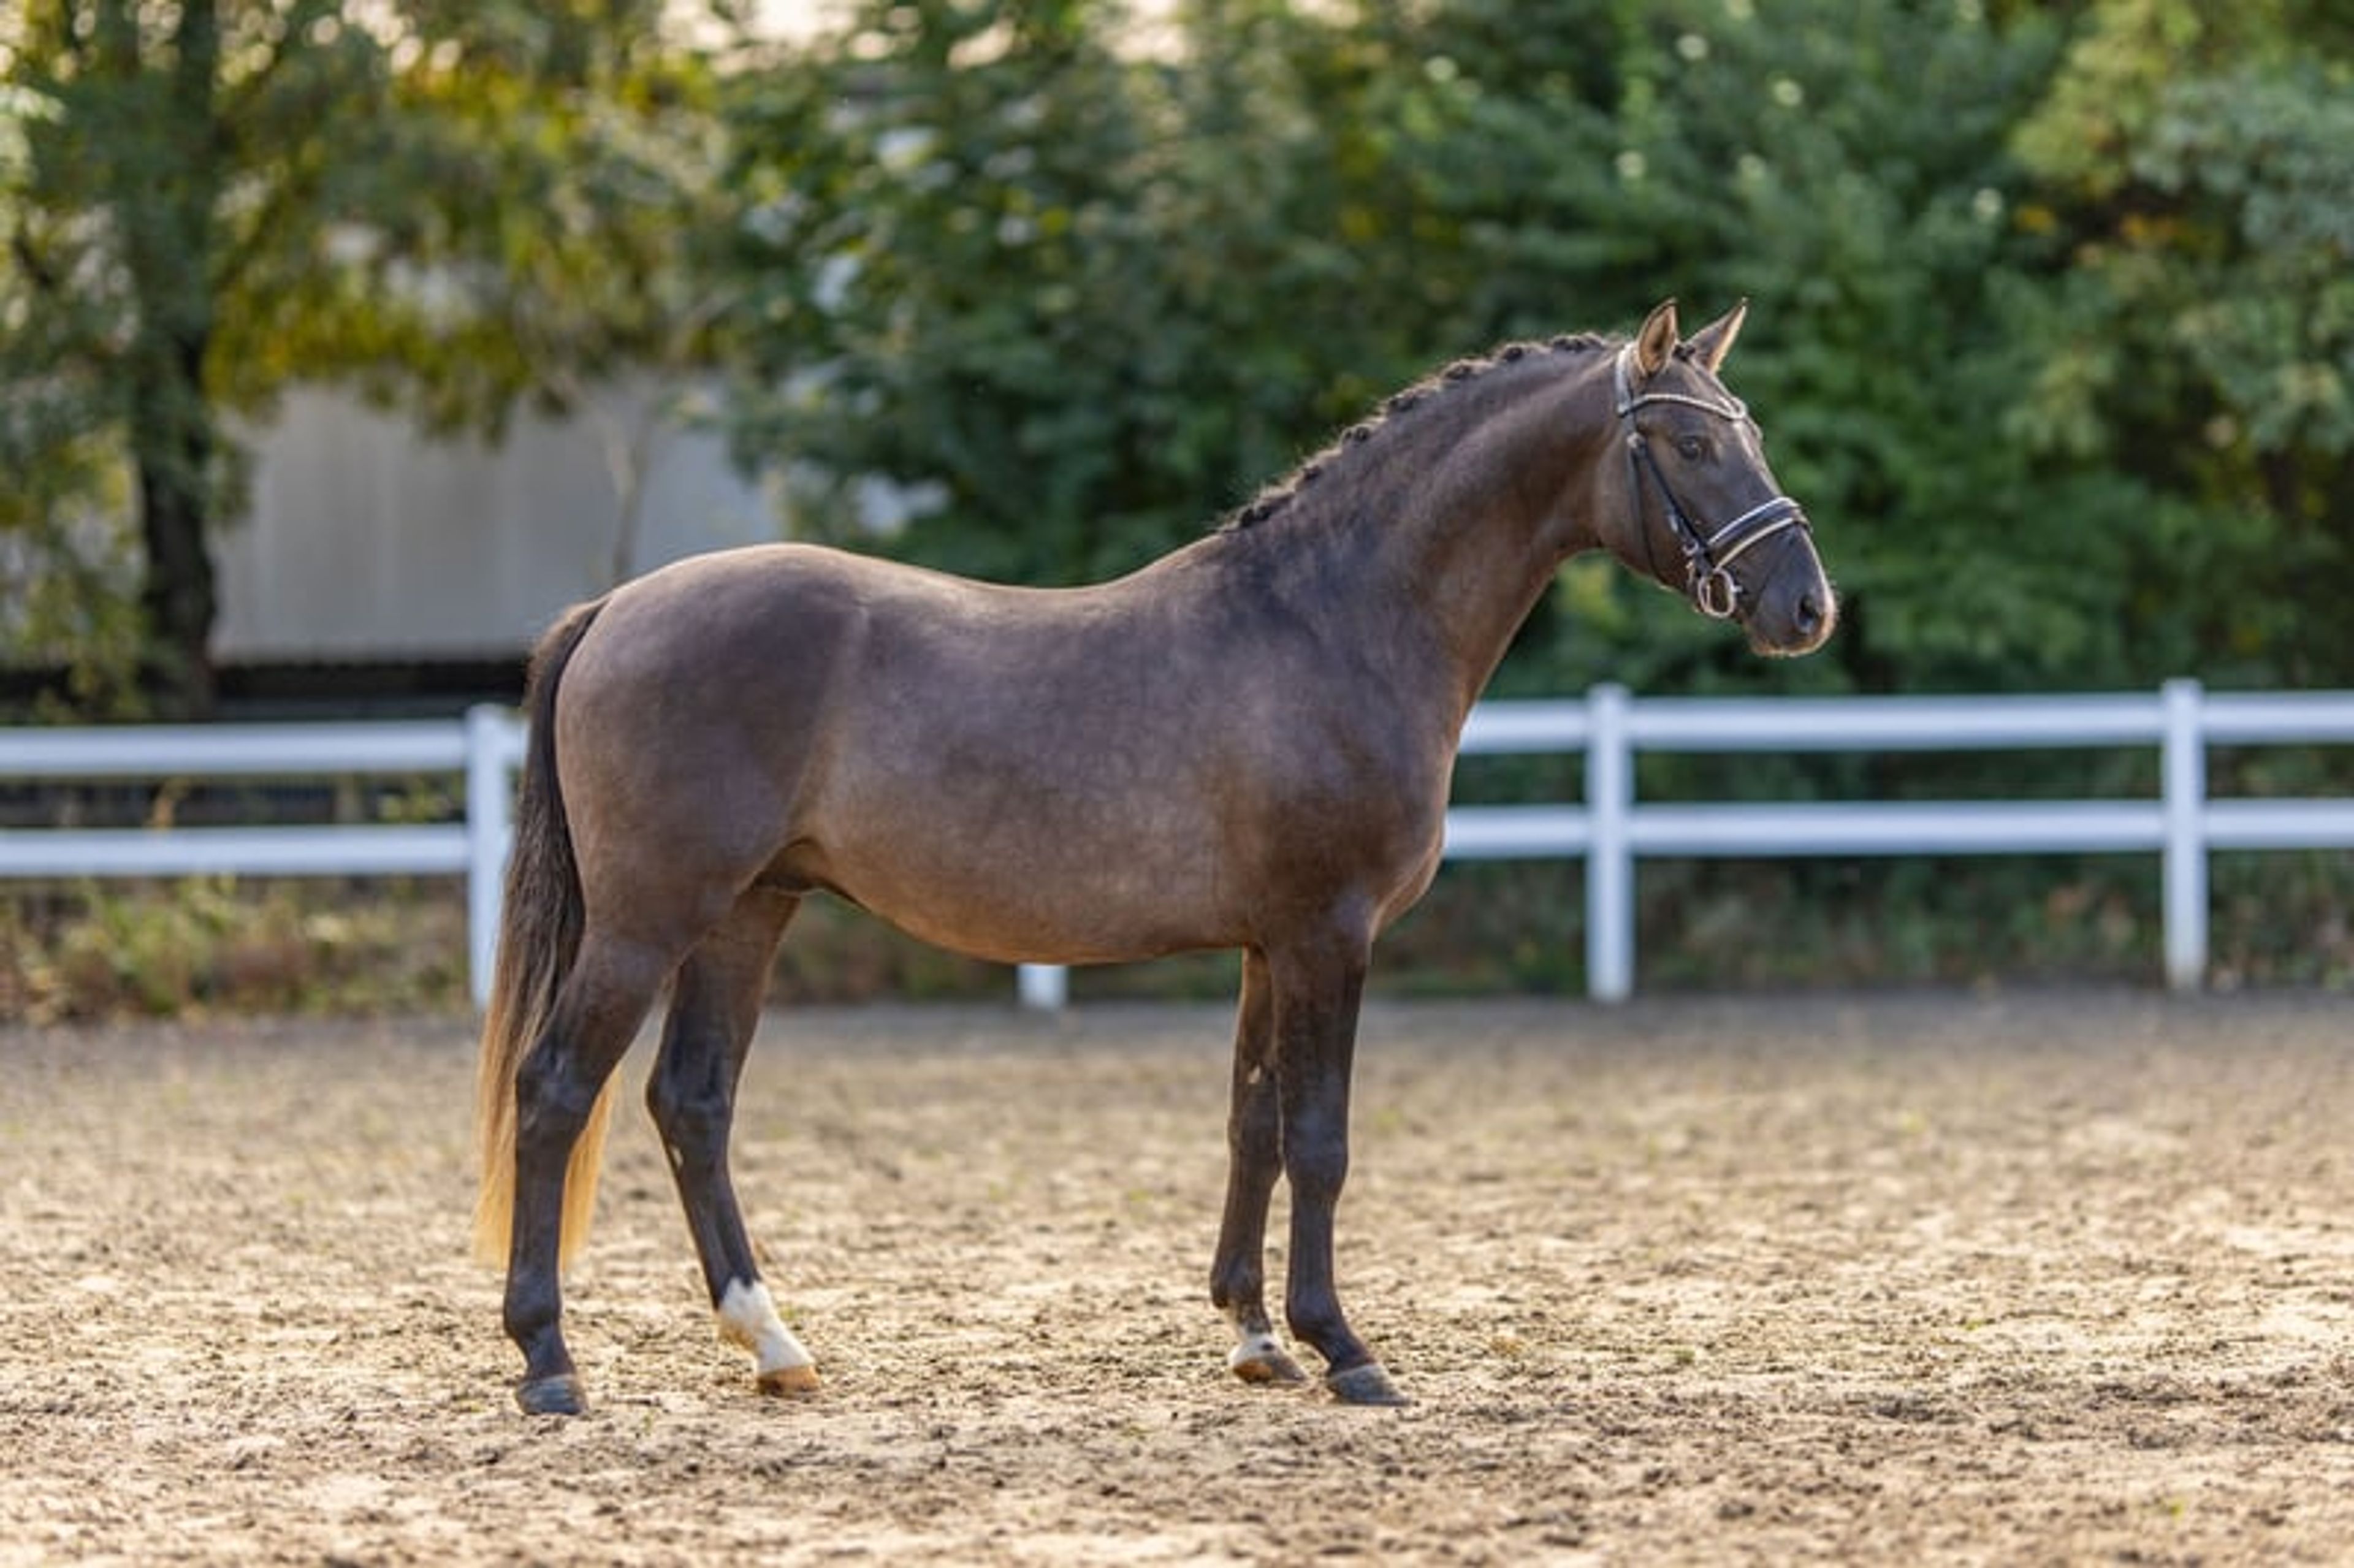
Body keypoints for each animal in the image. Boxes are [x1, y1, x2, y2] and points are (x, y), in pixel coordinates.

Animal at [472, 299, 1835, 1415]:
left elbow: (1253, 1124)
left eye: (1752, 430)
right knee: (558, 1091)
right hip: (652, 920)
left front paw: (1255, 1335)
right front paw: (1345, 1348)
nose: (1807, 606)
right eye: (1694, 445)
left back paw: (773, 1344)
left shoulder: (1266, 946)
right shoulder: (1328, 934)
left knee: (692, 1104)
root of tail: (618, 610)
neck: (1328, 623)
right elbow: (1322, 1137)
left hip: (748, 911)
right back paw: (549, 1361)